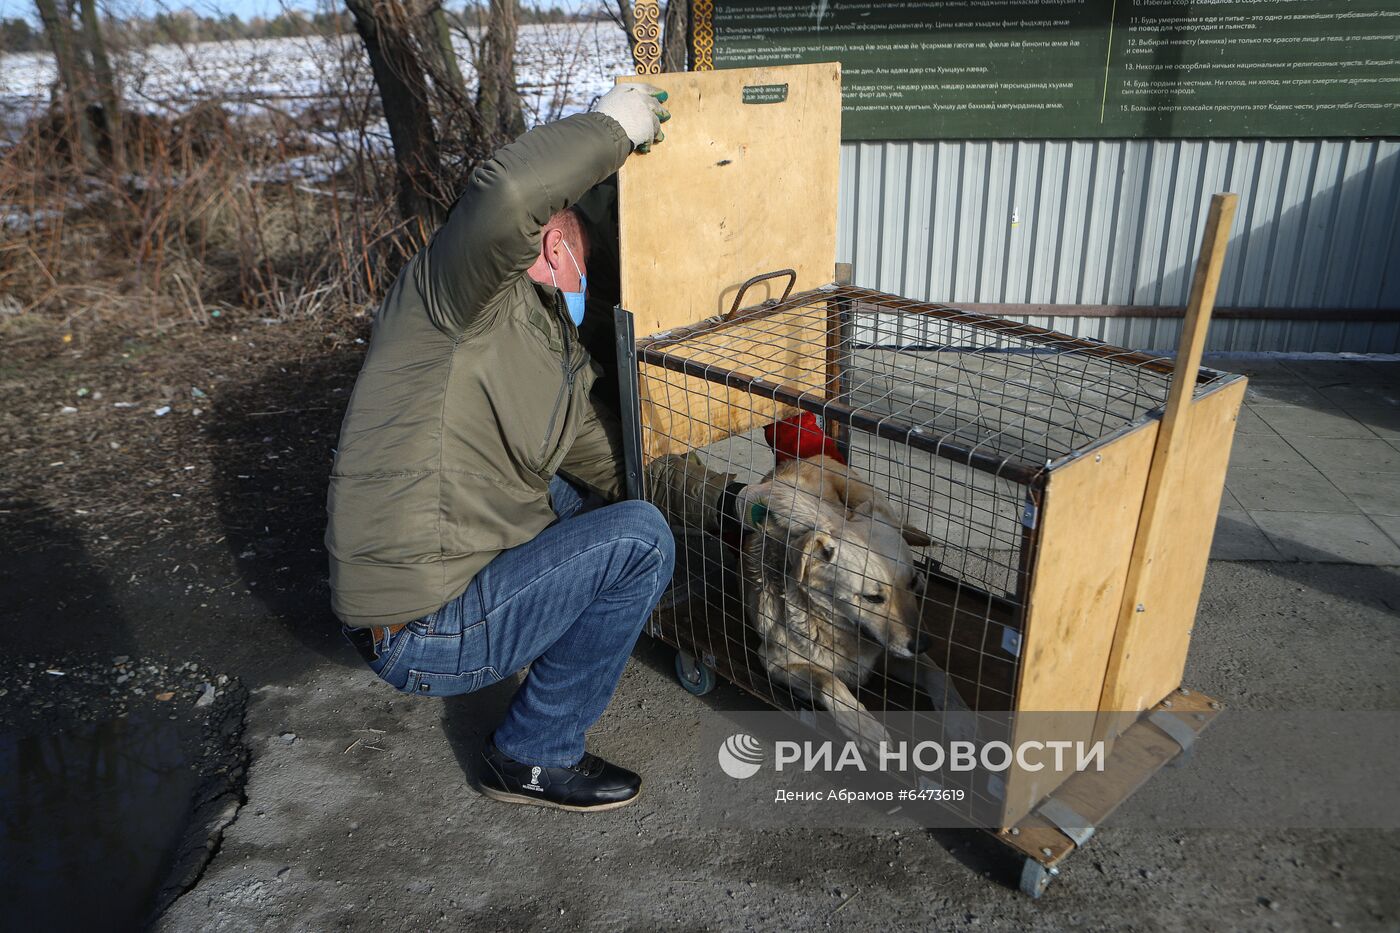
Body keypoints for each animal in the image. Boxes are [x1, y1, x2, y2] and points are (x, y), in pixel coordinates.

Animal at [646, 417, 968, 750]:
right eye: (872, 597)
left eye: (913, 582)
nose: (923, 643)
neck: (833, 626)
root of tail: (804, 460)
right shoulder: (774, 663)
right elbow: (830, 681)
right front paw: (865, 729)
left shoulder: (892, 653)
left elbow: (939, 674)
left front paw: (961, 720)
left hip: (863, 493)